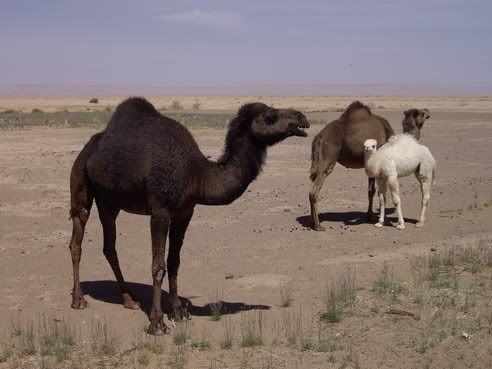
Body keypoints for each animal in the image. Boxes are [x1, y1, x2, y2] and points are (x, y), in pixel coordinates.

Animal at [67, 97, 310, 334]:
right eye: (270, 116)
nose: (302, 117)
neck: (195, 173)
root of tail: (88, 147)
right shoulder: (160, 210)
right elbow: (158, 266)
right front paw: (157, 322)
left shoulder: (185, 212)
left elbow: (174, 262)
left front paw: (178, 311)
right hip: (80, 181)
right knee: (77, 237)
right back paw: (78, 300)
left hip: (109, 201)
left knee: (109, 247)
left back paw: (129, 300)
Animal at [310, 99, 394, 229]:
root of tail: (319, 136)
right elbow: (379, 191)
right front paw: (379, 219)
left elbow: (371, 190)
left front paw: (369, 216)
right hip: (328, 158)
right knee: (314, 191)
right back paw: (318, 226)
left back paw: (312, 222)